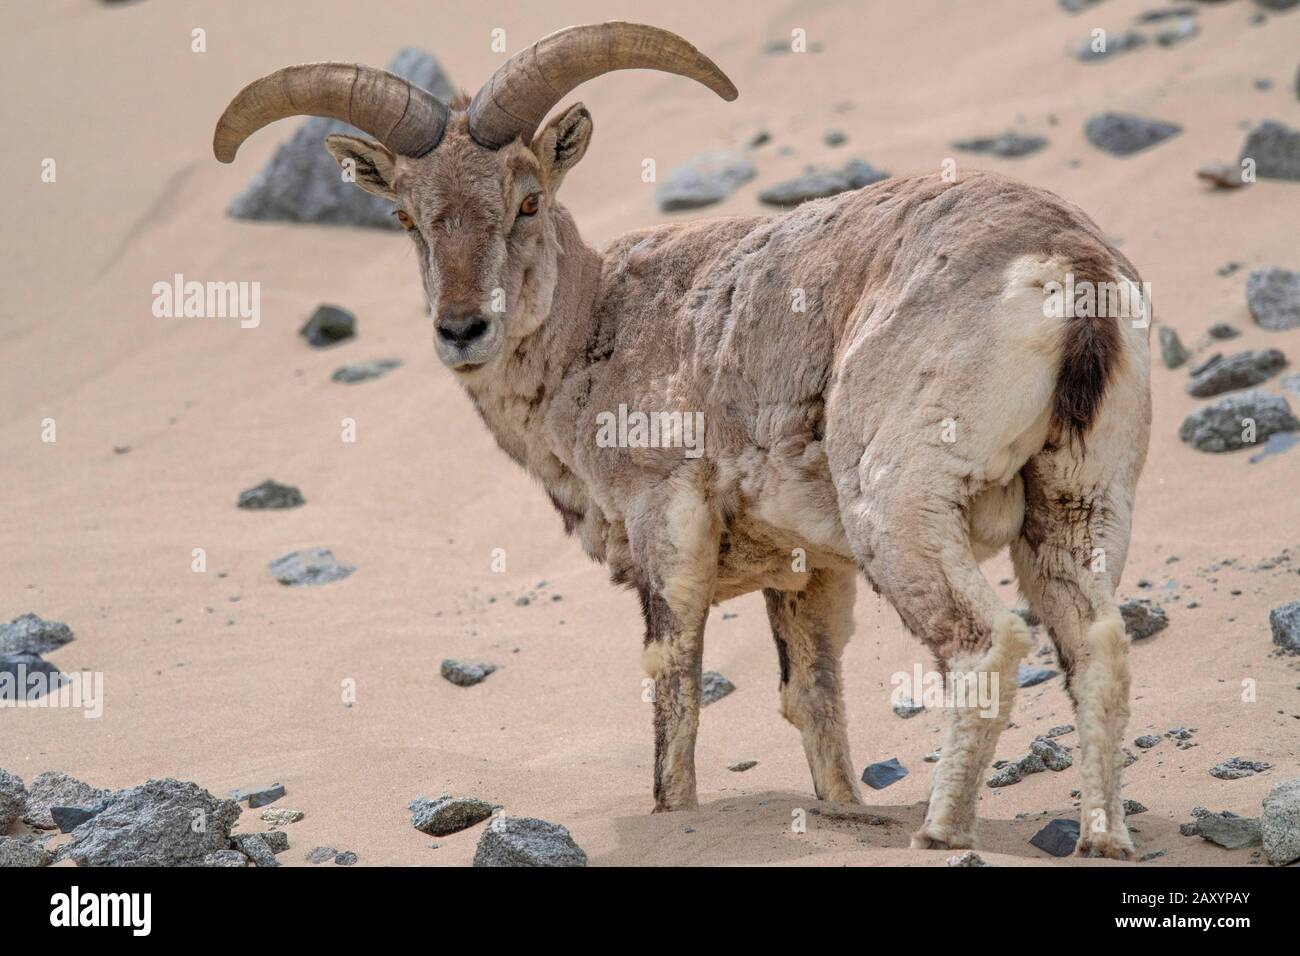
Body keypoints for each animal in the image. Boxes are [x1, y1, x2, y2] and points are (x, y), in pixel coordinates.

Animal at [213, 21, 1151, 859]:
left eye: (527, 199)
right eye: (408, 217)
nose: (463, 329)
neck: (596, 328)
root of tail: (1069, 267)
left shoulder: (666, 520)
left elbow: (675, 679)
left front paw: (678, 813)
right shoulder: (810, 572)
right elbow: (814, 699)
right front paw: (845, 810)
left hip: (903, 504)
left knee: (984, 641)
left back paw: (940, 830)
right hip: (1079, 500)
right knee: (1096, 647)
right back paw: (1102, 839)